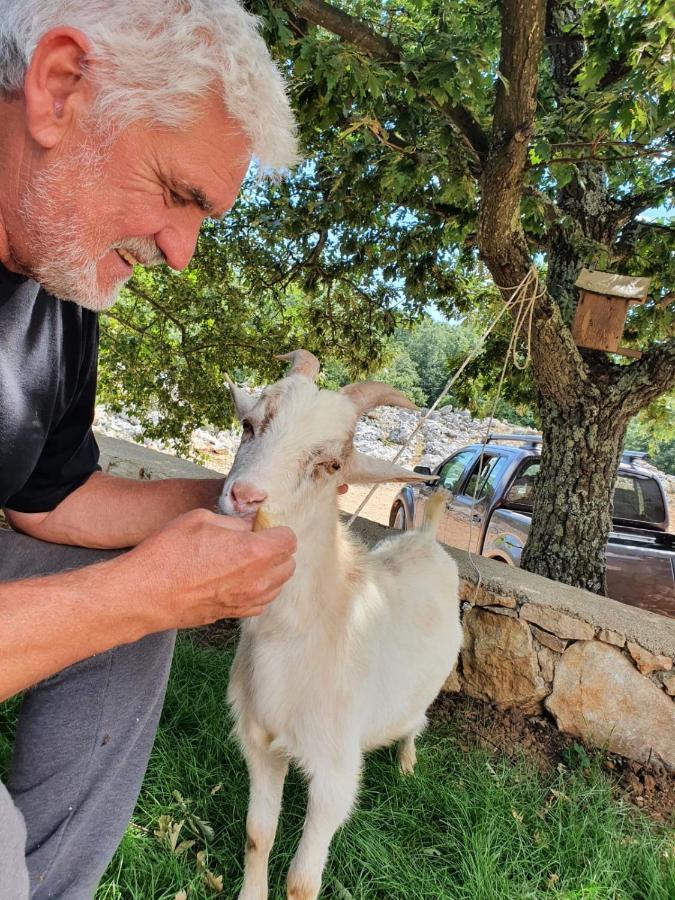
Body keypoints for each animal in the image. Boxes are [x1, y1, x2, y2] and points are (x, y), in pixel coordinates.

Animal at [219, 350, 462, 900]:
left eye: (330, 464)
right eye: (248, 425)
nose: (244, 498)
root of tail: (426, 537)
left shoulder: (335, 772)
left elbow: (302, 882)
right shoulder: (259, 742)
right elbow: (257, 834)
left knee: (415, 720)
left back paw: (408, 761)